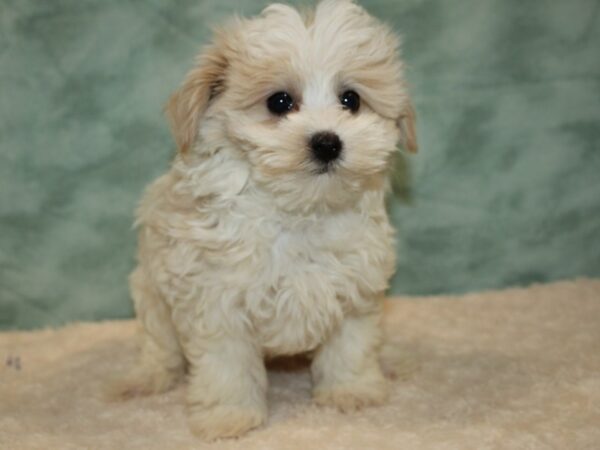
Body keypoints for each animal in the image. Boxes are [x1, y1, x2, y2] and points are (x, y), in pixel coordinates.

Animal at [116, 0, 418, 442]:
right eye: (279, 102)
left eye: (351, 100)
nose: (327, 142)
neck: (296, 211)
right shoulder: (216, 297)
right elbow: (226, 365)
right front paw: (229, 416)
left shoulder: (356, 286)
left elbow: (351, 345)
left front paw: (352, 391)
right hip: (150, 291)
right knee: (160, 347)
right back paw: (145, 378)